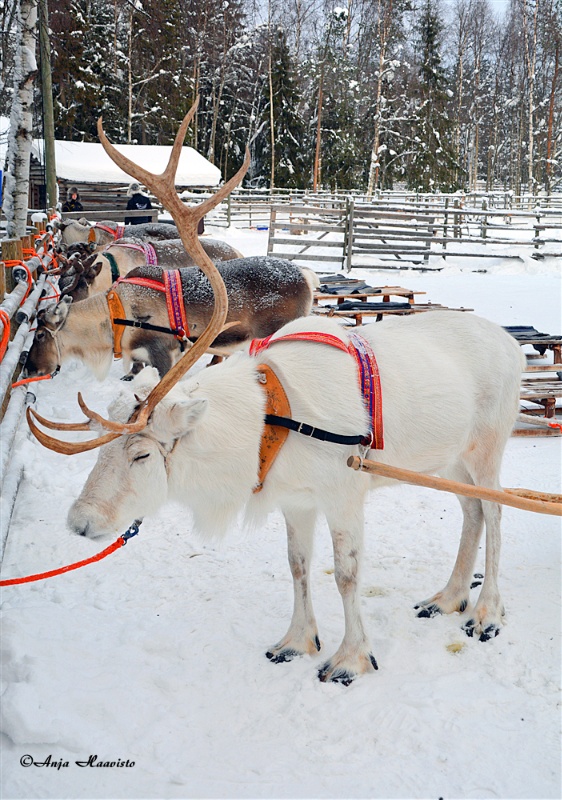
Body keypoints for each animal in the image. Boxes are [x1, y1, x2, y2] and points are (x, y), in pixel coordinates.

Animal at [28, 100, 525, 686]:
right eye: (102, 450)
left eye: (143, 453)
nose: (80, 523)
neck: (267, 423)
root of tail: (512, 346)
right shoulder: (295, 499)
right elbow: (298, 565)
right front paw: (297, 641)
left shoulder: (344, 493)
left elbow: (347, 575)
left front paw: (351, 658)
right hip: (446, 459)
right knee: (471, 513)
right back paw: (447, 597)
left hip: (487, 447)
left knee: (496, 512)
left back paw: (487, 612)